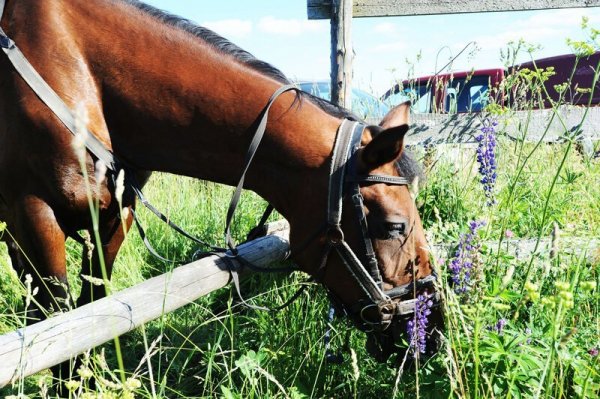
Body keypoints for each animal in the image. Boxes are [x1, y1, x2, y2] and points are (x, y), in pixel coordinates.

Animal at [0, 0, 440, 376]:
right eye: (394, 226)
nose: (431, 329)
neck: (71, 68)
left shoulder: (114, 216)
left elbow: (88, 322)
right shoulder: (35, 215)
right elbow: (63, 336)